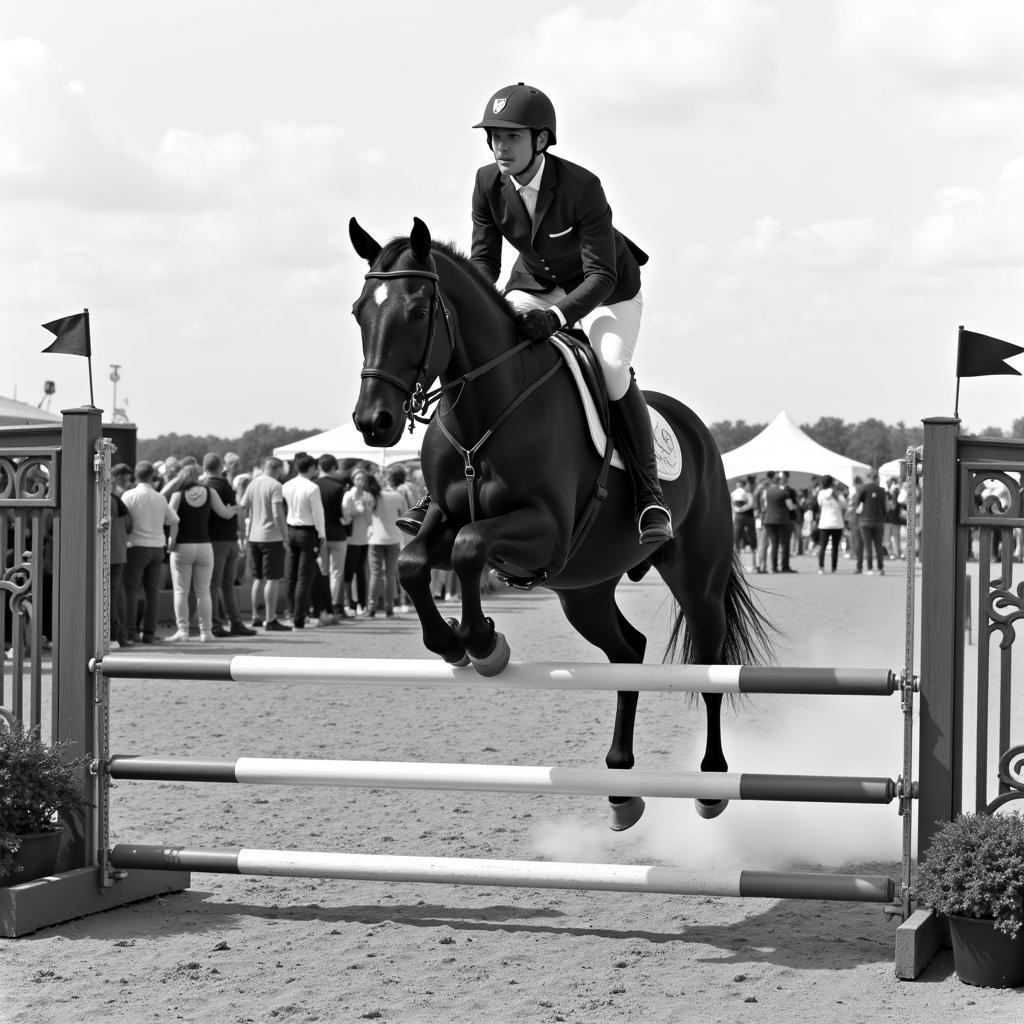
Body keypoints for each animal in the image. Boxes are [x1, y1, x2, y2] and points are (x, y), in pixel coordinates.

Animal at [348, 218, 770, 831]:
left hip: (698, 576)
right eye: (360, 311)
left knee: (710, 665)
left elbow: (471, 548)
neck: (483, 415)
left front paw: (483, 642)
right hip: (584, 589)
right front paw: (451, 642)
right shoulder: (442, 518)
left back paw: (712, 785)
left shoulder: (545, 532)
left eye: (419, 311)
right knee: (628, 652)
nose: (372, 422)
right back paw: (621, 788)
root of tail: (698, 431)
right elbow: (412, 561)